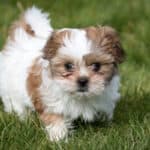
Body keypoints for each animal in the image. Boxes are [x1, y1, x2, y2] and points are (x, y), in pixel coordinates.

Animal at [0, 6, 124, 141]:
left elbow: (104, 112)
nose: (82, 80)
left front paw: (105, 123)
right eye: (68, 66)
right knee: (16, 105)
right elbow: (55, 118)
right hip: (10, 91)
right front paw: (59, 138)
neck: (81, 97)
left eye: (97, 66)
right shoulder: (50, 100)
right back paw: (23, 118)